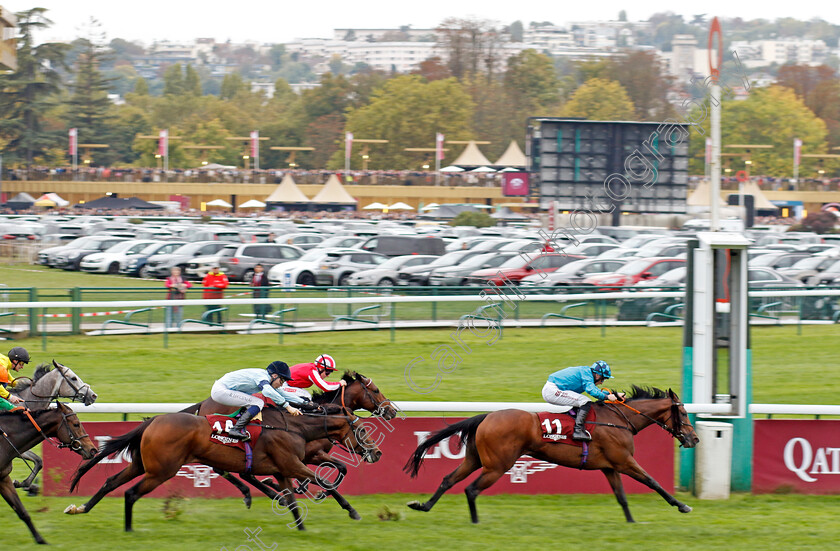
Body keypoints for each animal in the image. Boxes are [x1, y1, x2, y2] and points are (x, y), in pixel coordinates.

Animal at [0, 402, 97, 544]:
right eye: (76, 424)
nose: (93, 450)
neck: (5, 439)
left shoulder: (3, 478)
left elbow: (22, 511)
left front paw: (40, 540)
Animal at [65, 404, 380, 532]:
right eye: (363, 429)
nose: (376, 453)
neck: (294, 427)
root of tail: (152, 420)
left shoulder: (282, 469)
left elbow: (291, 498)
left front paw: (301, 527)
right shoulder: (292, 464)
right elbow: (324, 481)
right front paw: (349, 509)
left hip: (144, 465)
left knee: (110, 483)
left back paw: (80, 508)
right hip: (161, 471)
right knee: (130, 494)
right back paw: (129, 529)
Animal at [183, 370, 398, 520]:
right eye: (376, 390)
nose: (392, 411)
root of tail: (204, 403)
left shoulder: (309, 455)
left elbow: (341, 468)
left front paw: (310, 491)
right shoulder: (308, 455)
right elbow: (323, 475)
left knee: (237, 471)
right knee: (225, 469)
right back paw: (261, 494)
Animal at [404, 386, 700, 524]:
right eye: (684, 413)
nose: (694, 438)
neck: (619, 420)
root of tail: (486, 416)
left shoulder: (610, 467)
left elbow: (622, 497)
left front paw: (631, 521)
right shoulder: (624, 461)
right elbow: (653, 482)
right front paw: (682, 505)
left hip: (475, 459)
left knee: (448, 480)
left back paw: (423, 505)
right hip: (498, 465)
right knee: (472, 489)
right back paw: (475, 521)